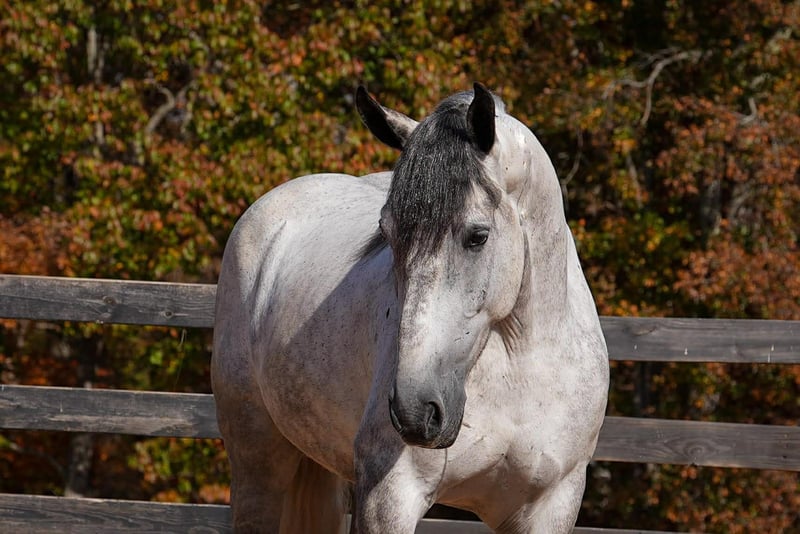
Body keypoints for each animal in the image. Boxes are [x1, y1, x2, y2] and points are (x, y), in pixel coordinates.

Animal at [211, 83, 609, 533]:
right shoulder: (391, 495)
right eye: (387, 233)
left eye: (477, 235)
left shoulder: (552, 506)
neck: (521, 367)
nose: (414, 410)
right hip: (258, 465)